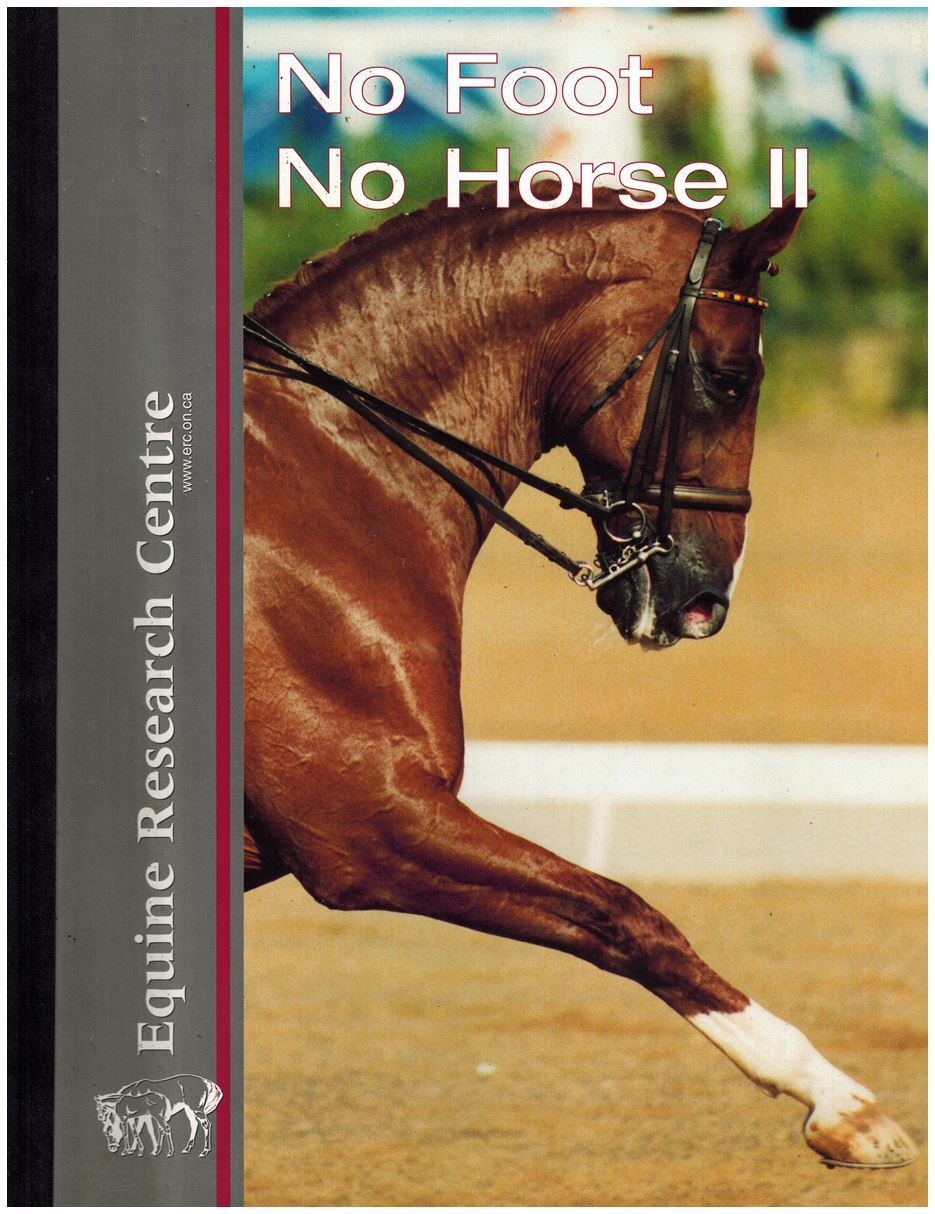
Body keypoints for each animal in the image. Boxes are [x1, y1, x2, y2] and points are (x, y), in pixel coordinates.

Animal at [243, 183, 917, 1170]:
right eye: (729, 378)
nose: (704, 599)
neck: (326, 470)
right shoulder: (367, 824)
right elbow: (627, 920)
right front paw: (842, 1106)